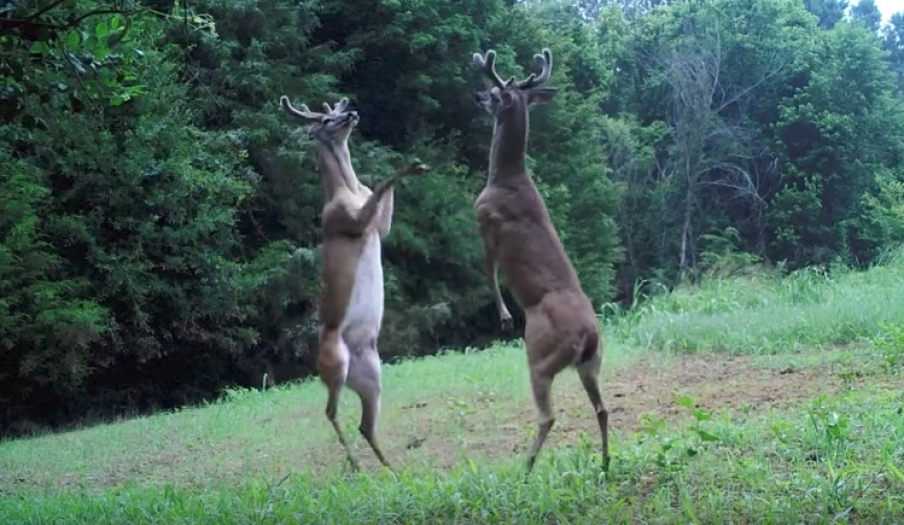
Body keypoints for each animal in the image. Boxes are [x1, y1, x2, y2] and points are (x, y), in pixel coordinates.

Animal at [278, 93, 424, 470]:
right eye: (326, 121)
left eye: (335, 111)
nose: (352, 113)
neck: (347, 190)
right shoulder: (349, 220)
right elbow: (382, 185)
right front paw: (412, 165)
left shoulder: (378, 226)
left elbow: (384, 203)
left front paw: (414, 163)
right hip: (335, 364)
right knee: (329, 411)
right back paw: (357, 465)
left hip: (373, 375)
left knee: (364, 424)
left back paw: (391, 468)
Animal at [470, 48, 612, 470]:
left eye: (495, 92)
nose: (477, 96)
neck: (505, 177)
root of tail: (589, 335)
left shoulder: (485, 221)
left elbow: (489, 273)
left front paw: (502, 316)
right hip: (592, 363)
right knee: (603, 409)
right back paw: (604, 464)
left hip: (539, 354)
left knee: (549, 416)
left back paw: (526, 467)